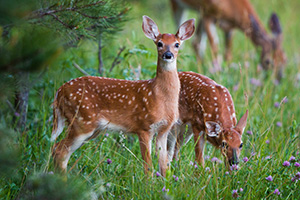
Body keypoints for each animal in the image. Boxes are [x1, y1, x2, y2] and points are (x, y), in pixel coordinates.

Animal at [50, 15, 196, 176]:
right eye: (159, 43)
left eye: (177, 44)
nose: (168, 55)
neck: (159, 96)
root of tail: (59, 92)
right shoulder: (143, 126)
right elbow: (148, 166)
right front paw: (148, 182)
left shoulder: (164, 129)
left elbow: (164, 166)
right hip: (81, 121)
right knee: (59, 150)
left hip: (91, 128)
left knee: (60, 150)